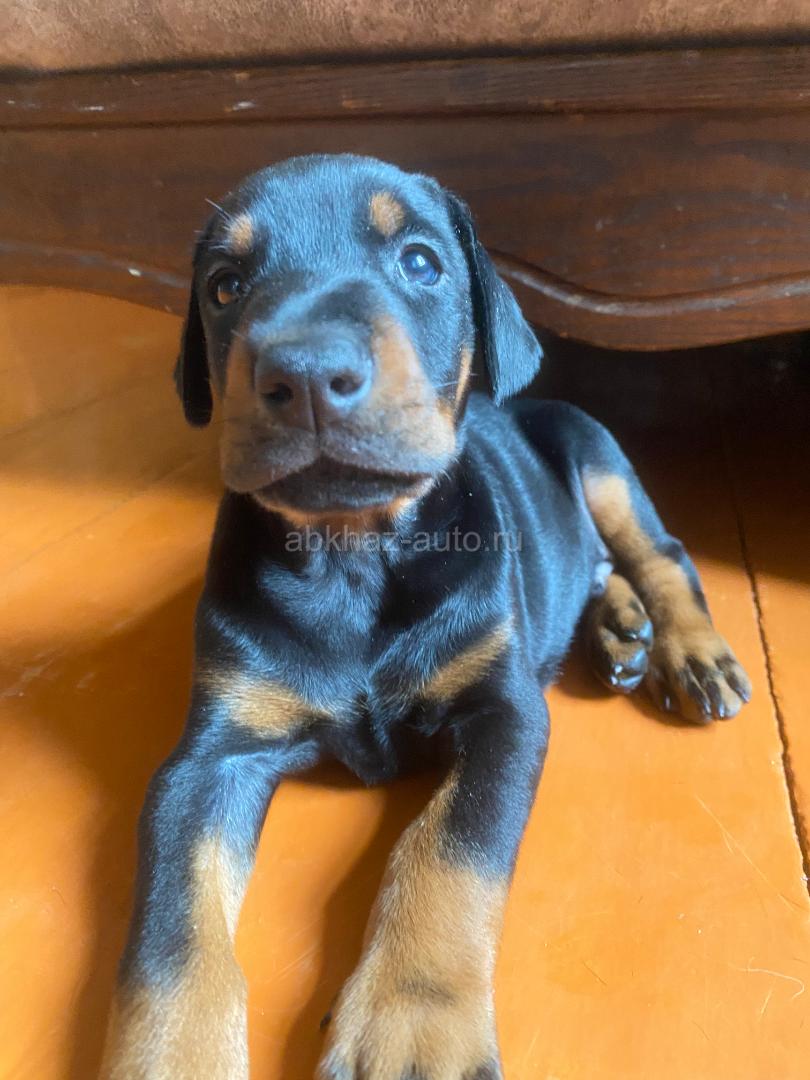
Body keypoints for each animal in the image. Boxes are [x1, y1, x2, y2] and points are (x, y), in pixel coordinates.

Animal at [101, 154, 751, 1079]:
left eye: (419, 263)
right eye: (224, 287)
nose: (306, 375)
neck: (353, 556)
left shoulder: (503, 712)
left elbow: (450, 849)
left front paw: (411, 1024)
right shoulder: (210, 756)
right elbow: (171, 932)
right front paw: (172, 1057)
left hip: (595, 455)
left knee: (656, 553)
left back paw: (687, 650)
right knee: (593, 566)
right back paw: (619, 632)